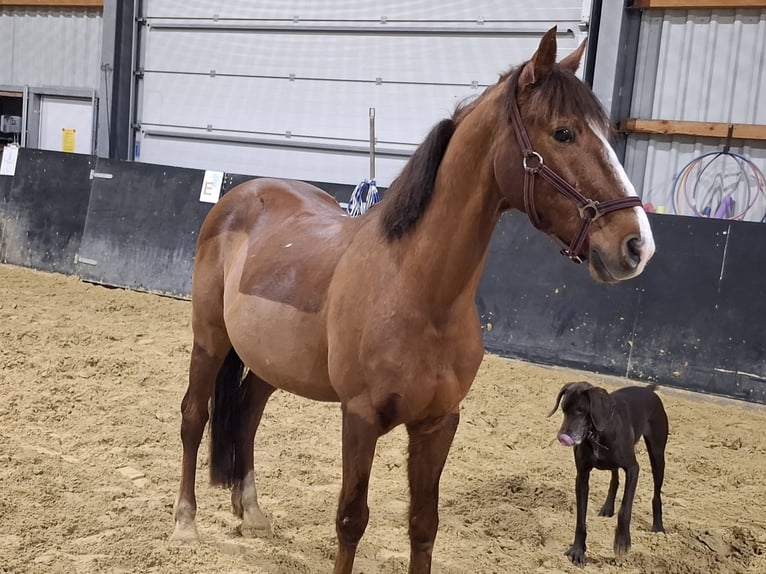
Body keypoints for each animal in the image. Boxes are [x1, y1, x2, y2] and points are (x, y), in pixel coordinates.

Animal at [171, 28, 656, 574]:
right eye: (564, 133)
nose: (637, 245)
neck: (419, 294)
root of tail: (240, 197)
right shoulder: (360, 419)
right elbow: (350, 520)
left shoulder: (437, 424)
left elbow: (424, 525)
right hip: (210, 342)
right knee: (194, 416)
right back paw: (185, 521)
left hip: (272, 362)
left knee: (247, 415)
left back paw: (251, 510)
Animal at [548, 382, 668, 568]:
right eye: (563, 409)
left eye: (581, 410)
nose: (562, 437)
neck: (596, 433)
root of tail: (648, 389)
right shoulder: (582, 476)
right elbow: (580, 518)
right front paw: (577, 550)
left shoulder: (633, 469)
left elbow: (625, 510)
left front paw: (622, 543)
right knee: (615, 479)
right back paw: (607, 507)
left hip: (657, 454)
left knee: (656, 493)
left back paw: (658, 527)